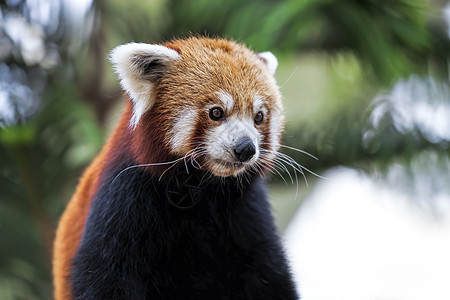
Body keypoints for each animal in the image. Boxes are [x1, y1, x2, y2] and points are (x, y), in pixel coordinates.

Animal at [52, 37, 298, 300]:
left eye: (259, 117)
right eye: (216, 112)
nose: (246, 148)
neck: (200, 191)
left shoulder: (246, 209)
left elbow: (268, 275)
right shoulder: (123, 196)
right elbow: (105, 276)